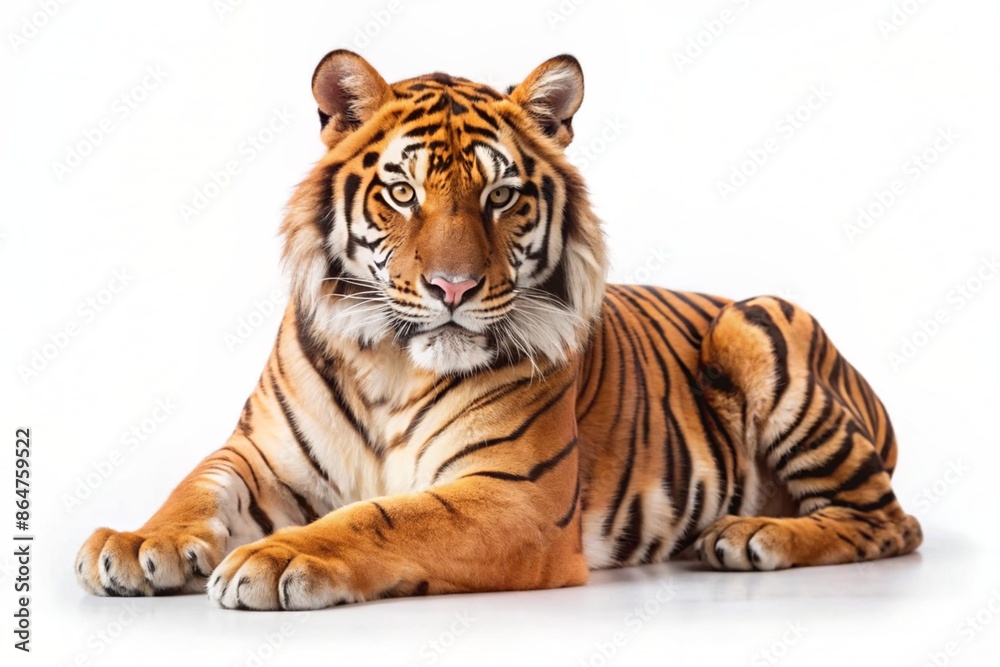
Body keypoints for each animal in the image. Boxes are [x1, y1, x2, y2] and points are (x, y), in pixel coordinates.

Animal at [75, 50, 922, 610]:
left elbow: (383, 516)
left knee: (890, 521)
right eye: (403, 192)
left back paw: (751, 536)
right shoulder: (261, 454)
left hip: (754, 321)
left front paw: (276, 557)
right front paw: (136, 544)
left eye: (503, 195)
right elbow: (195, 485)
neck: (391, 364)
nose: (454, 287)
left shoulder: (516, 495)